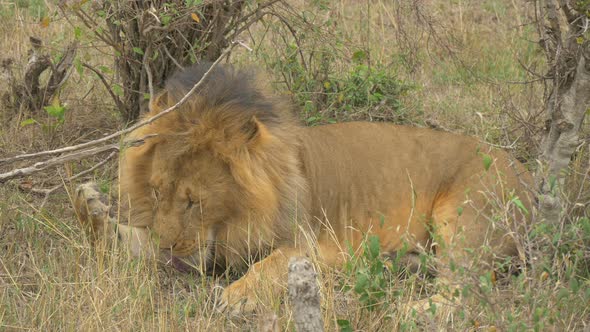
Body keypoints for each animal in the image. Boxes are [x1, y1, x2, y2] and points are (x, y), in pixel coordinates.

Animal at [75, 63, 536, 316]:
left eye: (195, 202)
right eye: (156, 192)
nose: (169, 249)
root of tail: (530, 175)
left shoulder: (315, 243)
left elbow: (271, 264)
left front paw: (237, 297)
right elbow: (129, 240)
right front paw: (92, 211)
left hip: (465, 217)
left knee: (470, 287)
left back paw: (415, 309)